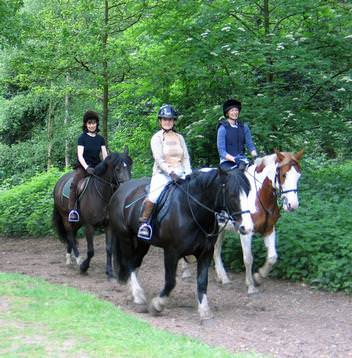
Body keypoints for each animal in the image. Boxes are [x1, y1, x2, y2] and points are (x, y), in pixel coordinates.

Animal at [182, 150, 302, 296]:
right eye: (284, 175)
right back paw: (186, 272)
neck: (259, 195)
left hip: (219, 229)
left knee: (216, 250)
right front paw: (251, 285)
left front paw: (258, 276)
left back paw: (222, 277)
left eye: (298, 176)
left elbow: (272, 257)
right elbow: (248, 258)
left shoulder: (269, 229)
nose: (293, 205)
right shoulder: (245, 232)